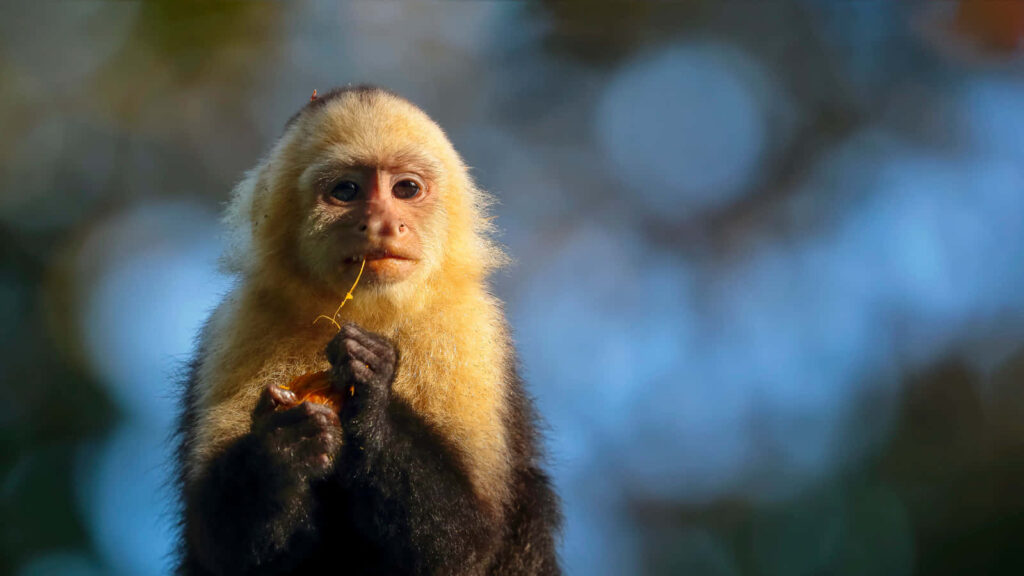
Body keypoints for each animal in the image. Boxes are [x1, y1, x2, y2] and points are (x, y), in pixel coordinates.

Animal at [174, 86, 561, 575]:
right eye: (346, 191)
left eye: (406, 189)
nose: (381, 223)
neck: (370, 311)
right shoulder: (238, 326)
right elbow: (222, 546)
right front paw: (279, 449)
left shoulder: (470, 329)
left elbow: (466, 543)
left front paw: (372, 389)